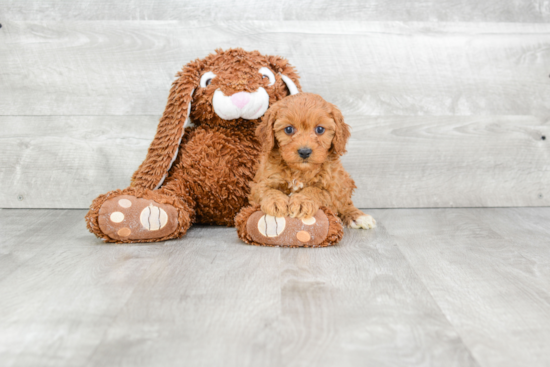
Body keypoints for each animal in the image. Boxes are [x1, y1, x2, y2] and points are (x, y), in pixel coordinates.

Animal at [251, 92, 378, 230]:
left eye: (320, 129)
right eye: (288, 129)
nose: (304, 152)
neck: (299, 171)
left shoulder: (332, 189)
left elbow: (314, 190)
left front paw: (301, 201)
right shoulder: (261, 182)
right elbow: (267, 190)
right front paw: (275, 202)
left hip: (344, 181)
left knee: (345, 204)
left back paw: (358, 216)